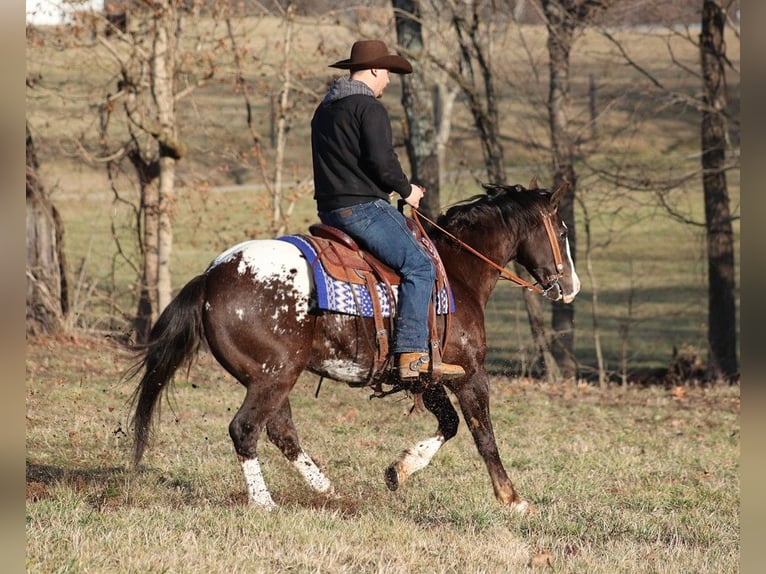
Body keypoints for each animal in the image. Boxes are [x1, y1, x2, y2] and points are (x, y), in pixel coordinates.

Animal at [127, 182, 584, 516]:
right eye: (562, 231)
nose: (572, 287)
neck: (456, 275)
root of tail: (210, 277)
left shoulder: (427, 377)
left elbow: (451, 425)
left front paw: (400, 470)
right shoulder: (470, 374)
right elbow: (482, 434)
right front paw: (513, 499)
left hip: (267, 377)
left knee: (280, 431)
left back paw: (329, 491)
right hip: (275, 375)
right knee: (246, 429)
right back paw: (265, 502)